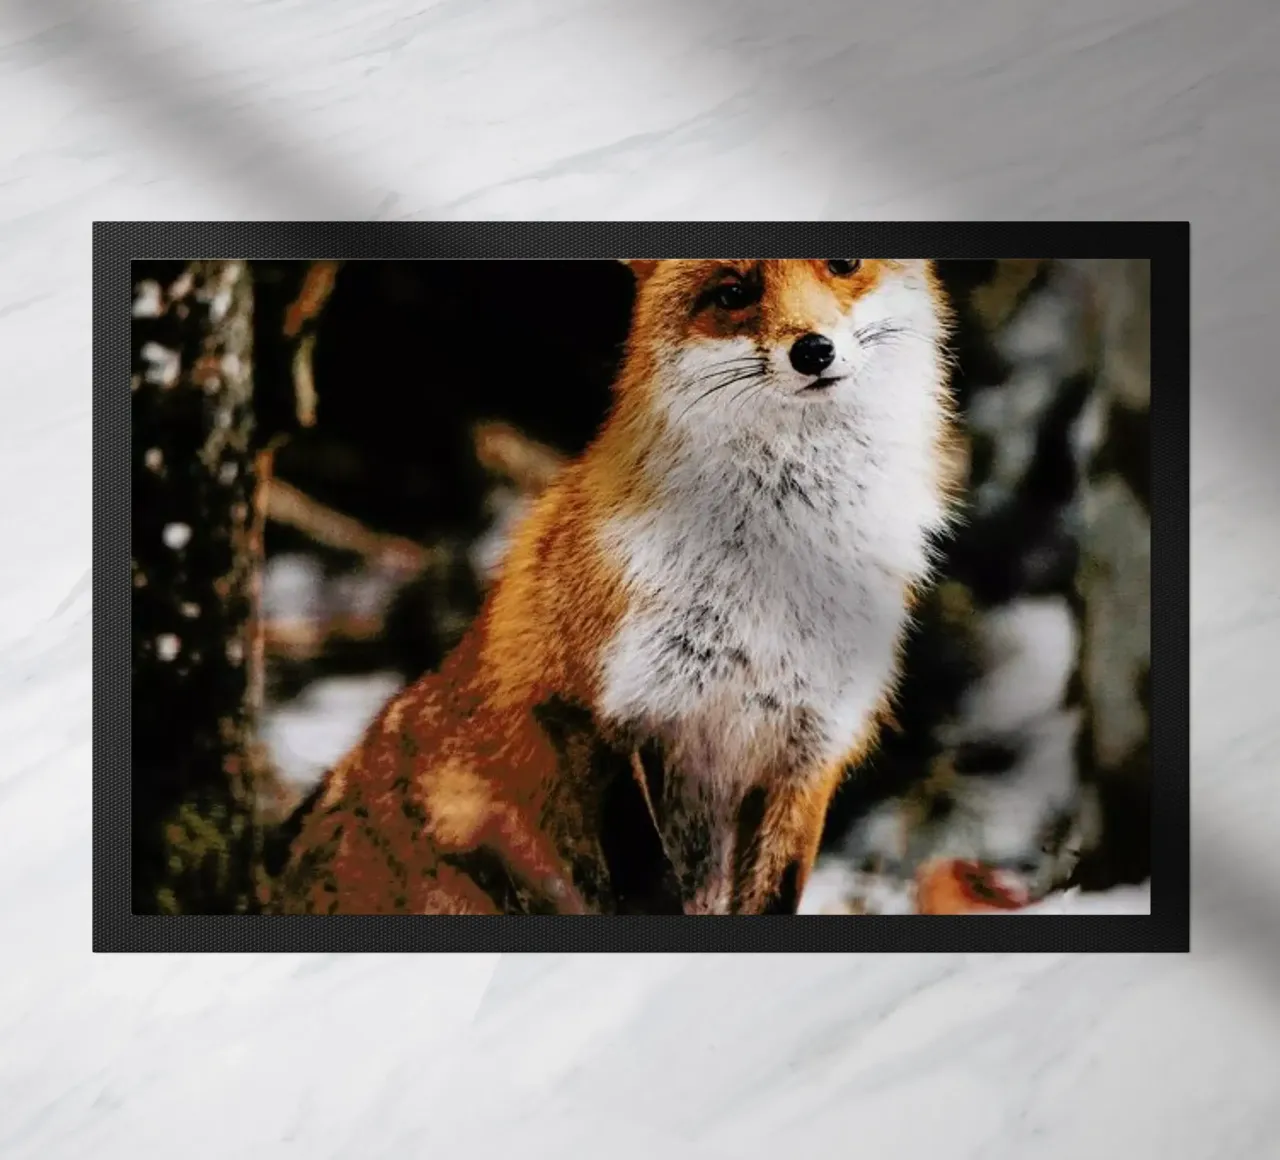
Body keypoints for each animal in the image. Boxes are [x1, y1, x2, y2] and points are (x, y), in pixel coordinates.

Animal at [269, 258, 962, 916]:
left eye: (843, 264)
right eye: (733, 293)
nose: (814, 350)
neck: (771, 586)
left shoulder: (807, 750)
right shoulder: (597, 712)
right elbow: (647, 891)